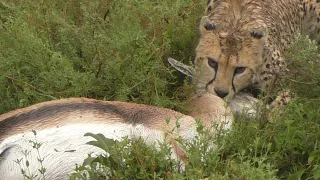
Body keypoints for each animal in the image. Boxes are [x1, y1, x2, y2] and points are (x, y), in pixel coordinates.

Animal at [170, 0, 320, 109]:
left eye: (240, 69)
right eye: (212, 62)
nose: (221, 93)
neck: (235, 25)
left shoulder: (288, 77)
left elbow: (291, 93)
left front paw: (273, 113)